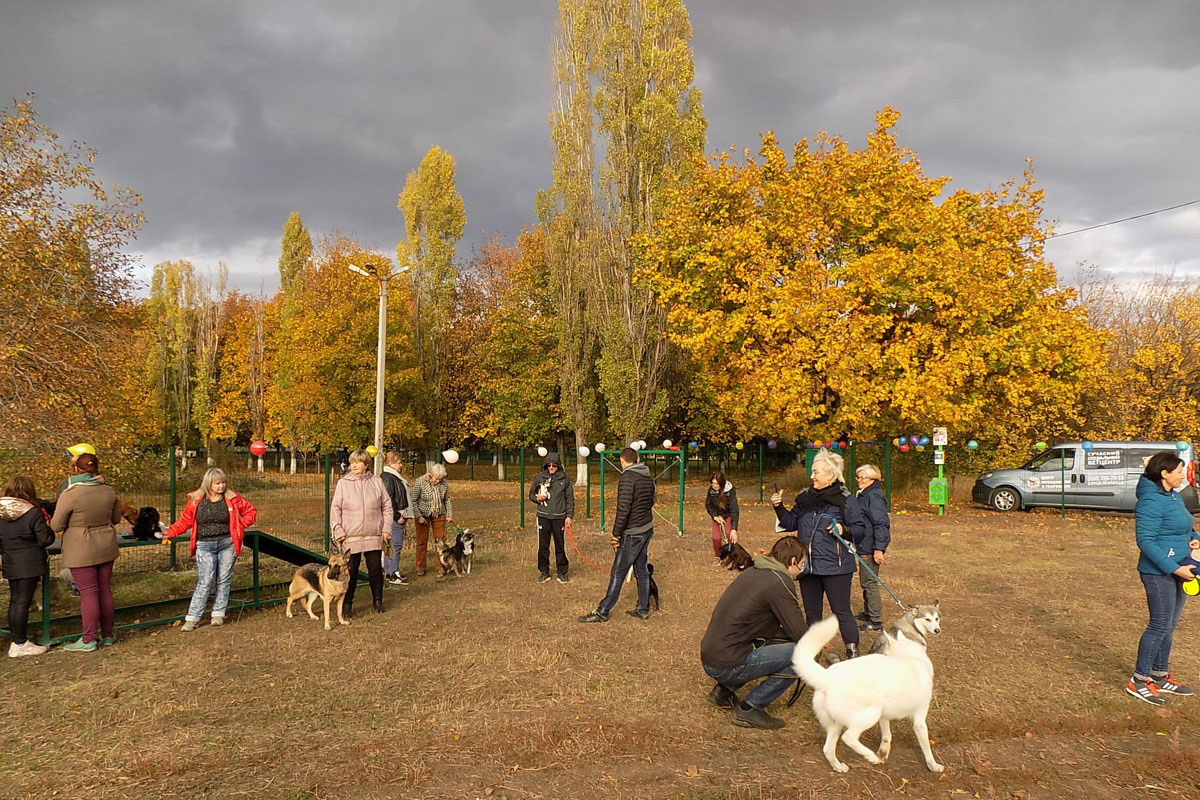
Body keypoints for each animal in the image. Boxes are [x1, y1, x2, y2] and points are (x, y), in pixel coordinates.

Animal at [796, 609, 945, 772]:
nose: (937, 630)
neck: (911, 658)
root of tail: (827, 677)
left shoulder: (885, 716)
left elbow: (887, 736)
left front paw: (883, 753)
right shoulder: (919, 720)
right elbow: (927, 749)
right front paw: (933, 766)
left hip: (837, 724)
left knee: (828, 749)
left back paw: (840, 767)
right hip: (871, 713)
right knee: (849, 737)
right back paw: (871, 756)